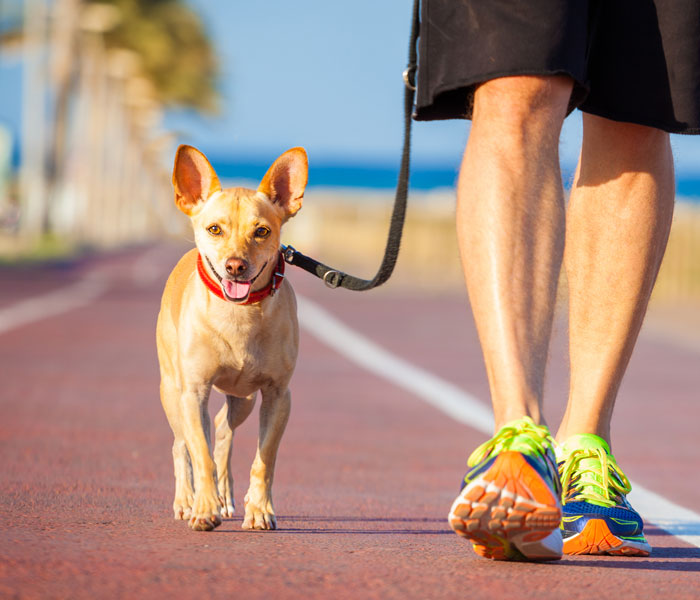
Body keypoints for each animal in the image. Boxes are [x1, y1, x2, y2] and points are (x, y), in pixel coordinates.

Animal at [159, 144, 306, 528]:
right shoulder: (194, 392)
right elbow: (200, 452)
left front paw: (260, 509)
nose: (235, 266)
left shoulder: (278, 396)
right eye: (214, 229)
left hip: (245, 399)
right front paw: (203, 508)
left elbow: (264, 459)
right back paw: (186, 500)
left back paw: (225, 496)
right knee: (182, 444)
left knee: (224, 429)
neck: (239, 315)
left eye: (262, 231)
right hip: (172, 390)